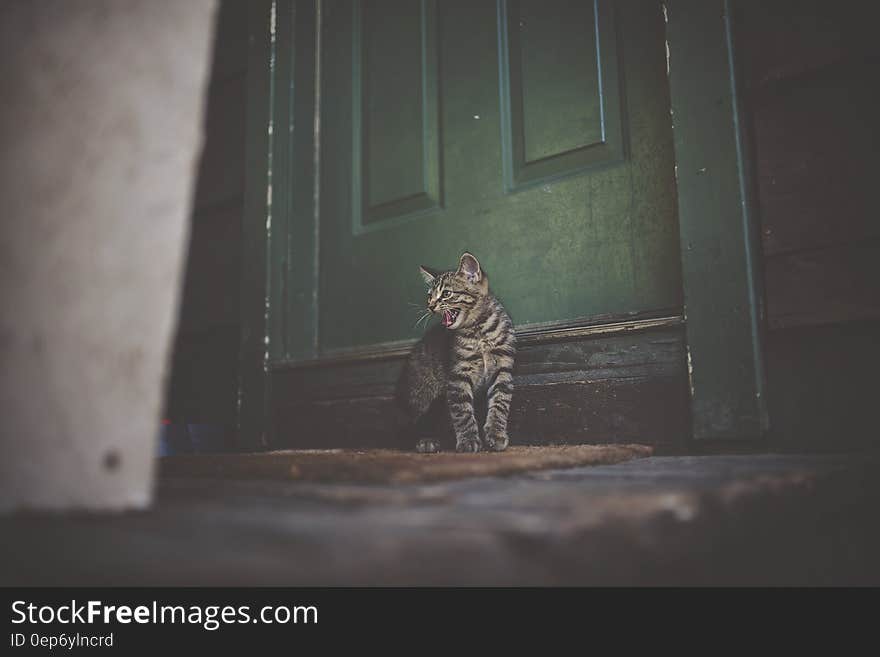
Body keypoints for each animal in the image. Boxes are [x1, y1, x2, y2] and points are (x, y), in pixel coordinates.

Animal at [398, 251, 516, 452]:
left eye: (446, 294)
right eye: (429, 296)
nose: (430, 306)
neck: (478, 331)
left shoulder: (503, 367)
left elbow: (500, 402)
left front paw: (496, 433)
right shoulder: (457, 375)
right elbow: (462, 412)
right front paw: (468, 440)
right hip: (422, 397)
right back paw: (426, 440)